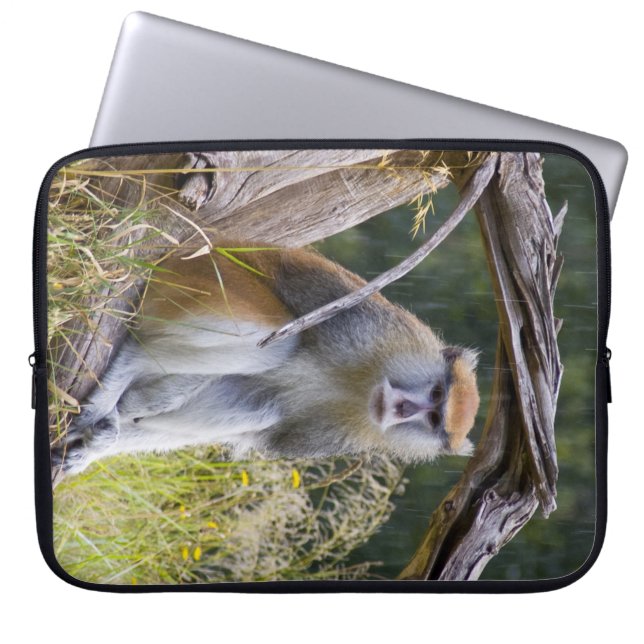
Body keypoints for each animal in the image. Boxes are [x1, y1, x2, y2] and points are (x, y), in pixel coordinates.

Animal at [53, 242, 480, 477]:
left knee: (260, 406)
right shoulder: (363, 326)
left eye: (434, 418)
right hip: (208, 278)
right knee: (276, 346)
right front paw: (124, 408)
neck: (361, 385)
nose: (403, 408)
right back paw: (130, 363)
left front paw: (97, 446)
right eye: (437, 394)